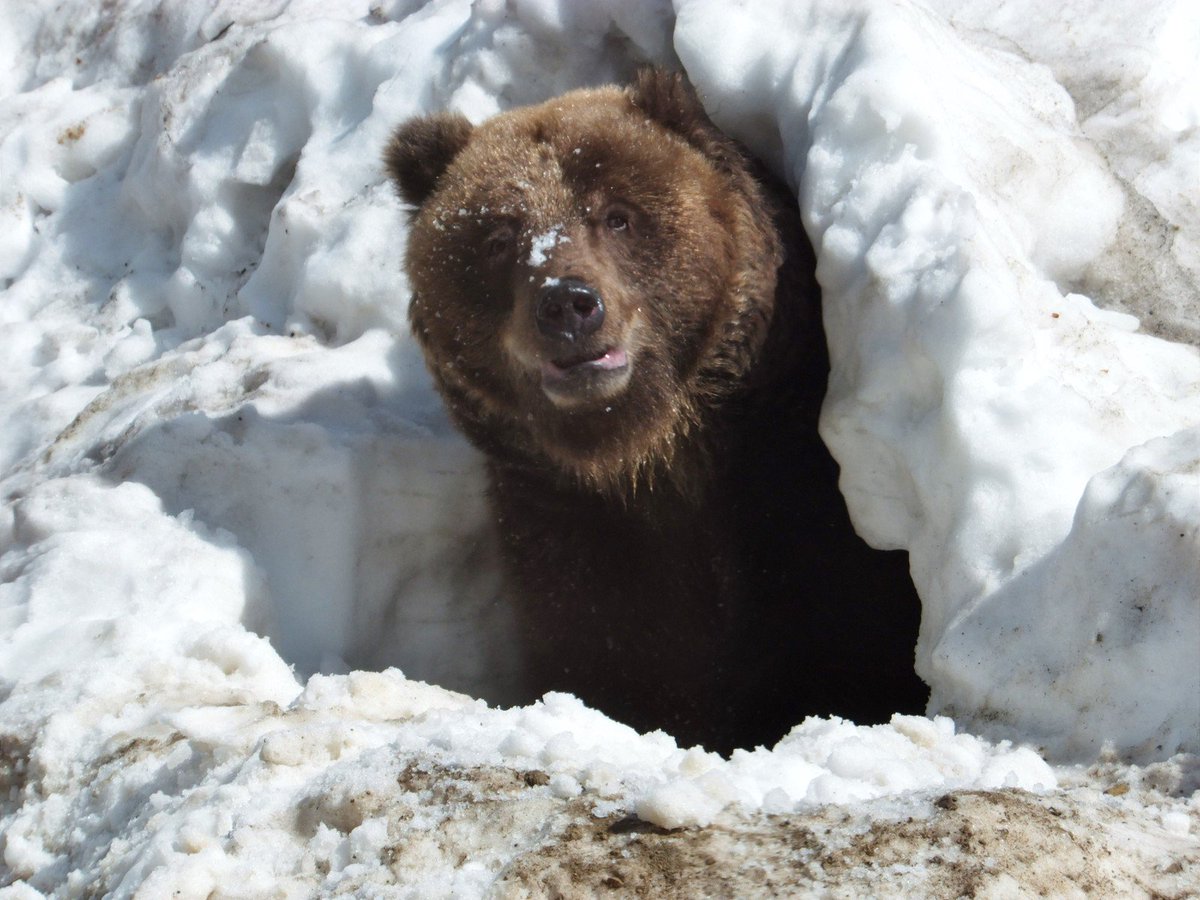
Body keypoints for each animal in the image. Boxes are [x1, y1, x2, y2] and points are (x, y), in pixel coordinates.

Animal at [386, 66, 926, 753]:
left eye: (617, 215)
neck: (653, 453)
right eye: (500, 235)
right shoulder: (566, 521)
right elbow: (611, 652)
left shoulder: (794, 490)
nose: (567, 303)